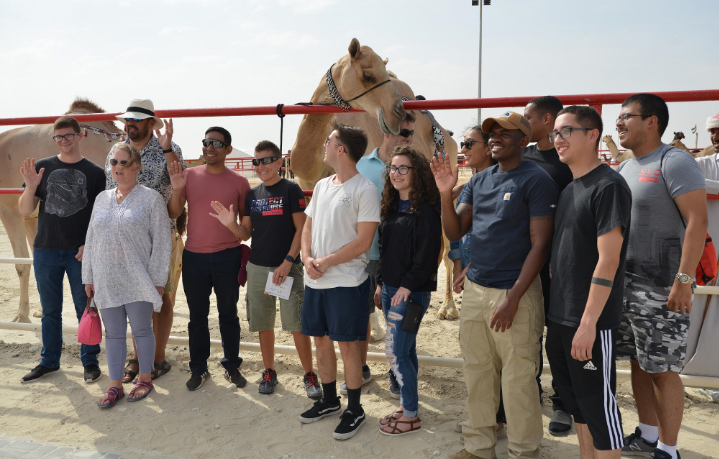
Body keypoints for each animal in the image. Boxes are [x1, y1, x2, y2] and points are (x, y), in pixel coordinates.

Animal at [288, 37, 462, 322]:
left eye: (386, 75)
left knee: (447, 249)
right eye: (367, 75)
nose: (399, 112)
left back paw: (448, 308)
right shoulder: (310, 191)